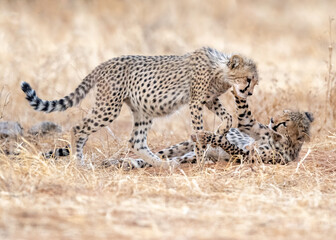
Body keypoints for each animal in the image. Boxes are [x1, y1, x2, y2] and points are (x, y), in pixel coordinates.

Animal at [21, 46, 258, 167]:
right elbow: (199, 129)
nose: (249, 93)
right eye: (248, 80)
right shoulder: (196, 102)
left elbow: (227, 116)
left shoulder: (208, 100)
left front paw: (221, 130)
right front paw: (201, 158)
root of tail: (104, 64)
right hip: (109, 107)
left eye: (255, 82)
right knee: (78, 128)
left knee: (137, 142)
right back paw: (78, 162)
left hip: (143, 110)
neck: (220, 70)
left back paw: (164, 164)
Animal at [119, 90, 314, 169]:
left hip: (190, 156)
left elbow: (224, 141)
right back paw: (123, 162)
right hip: (183, 147)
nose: (273, 120)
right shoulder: (247, 124)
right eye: (283, 112)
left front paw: (206, 134)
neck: (277, 138)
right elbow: (244, 112)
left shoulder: (245, 156)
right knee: (160, 154)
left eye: (286, 122)